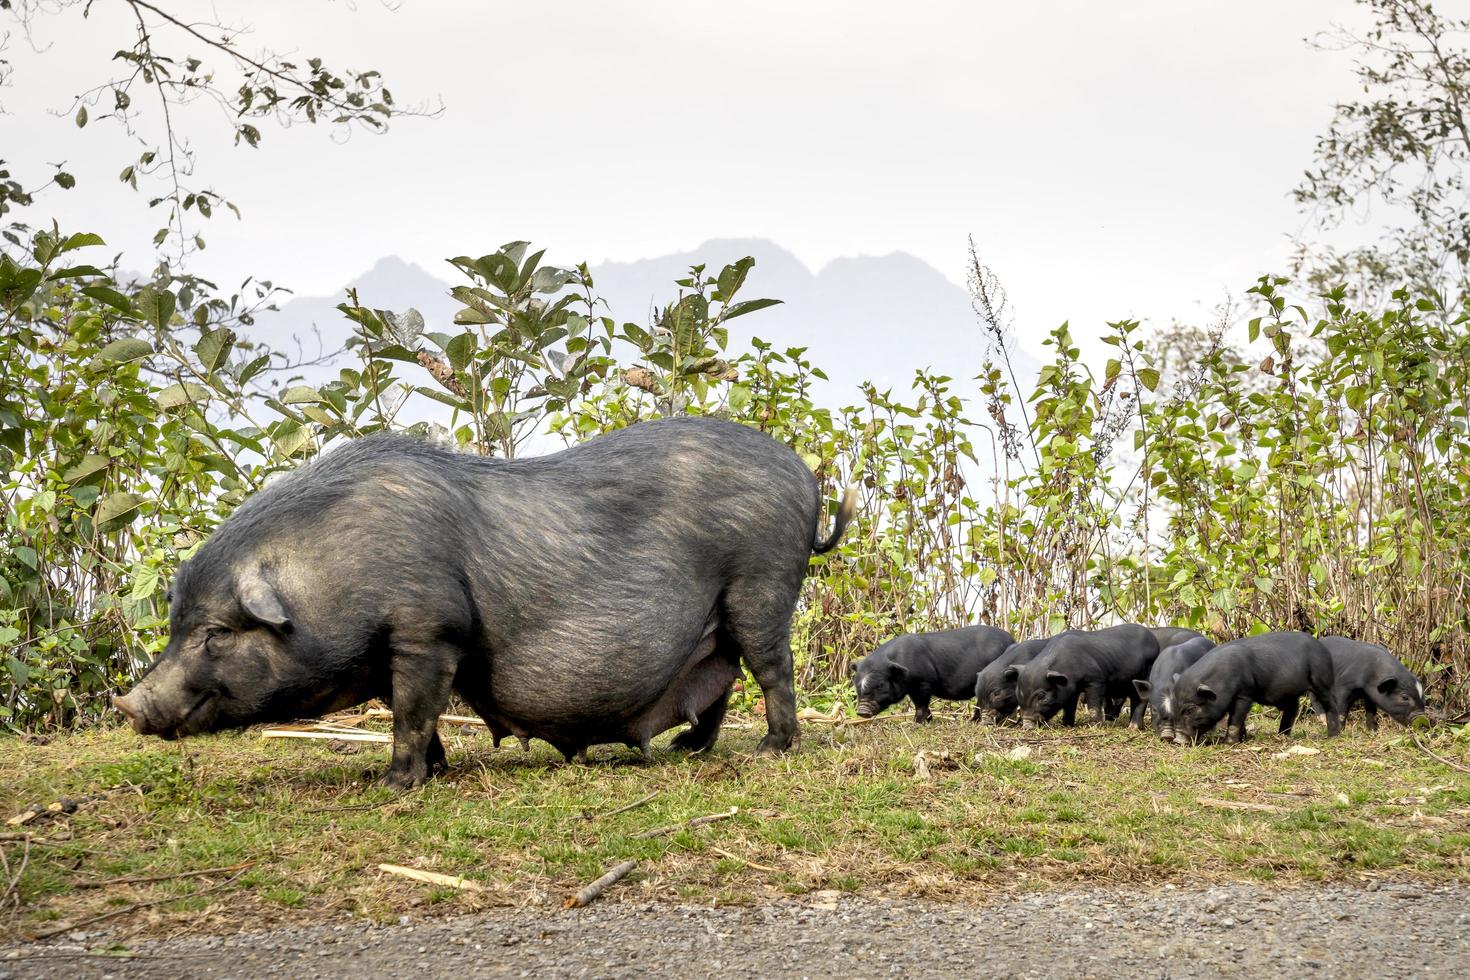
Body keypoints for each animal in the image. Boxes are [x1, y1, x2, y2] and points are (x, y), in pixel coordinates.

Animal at [117, 423, 858, 787]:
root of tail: (803, 477)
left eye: (216, 632)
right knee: (719, 679)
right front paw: (434, 770)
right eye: (177, 624)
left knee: (772, 670)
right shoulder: (394, 650)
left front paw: (392, 785)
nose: (128, 705)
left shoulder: (428, 628)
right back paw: (686, 749)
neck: (329, 571)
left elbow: (412, 712)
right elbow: (412, 714)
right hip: (720, 618)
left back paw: (770, 750)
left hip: (761, 584)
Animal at [846, 628, 1017, 719]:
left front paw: (917, 722)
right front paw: (927, 719)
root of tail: (1012, 640)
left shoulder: (923, 681)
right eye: (857, 684)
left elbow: (921, 704)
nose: (862, 711)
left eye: (880, 685)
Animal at [1017, 628, 1152, 728]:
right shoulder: (1072, 689)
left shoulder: (1096, 680)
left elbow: (1093, 704)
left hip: (1145, 676)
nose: (1026, 724)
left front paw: (1094, 726)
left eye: (1042, 697)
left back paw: (1133, 728)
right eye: (1019, 695)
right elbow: (1069, 707)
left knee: (1141, 700)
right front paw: (1067, 725)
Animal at [1164, 631, 1340, 746]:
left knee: (1331, 704)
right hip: (1291, 692)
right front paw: (1242, 739)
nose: (1177, 740)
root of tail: (1322, 647)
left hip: (1322, 680)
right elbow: (1238, 719)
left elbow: (1235, 719)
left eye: (1191, 709)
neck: (1222, 679)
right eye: (1175, 707)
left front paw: (1228, 744)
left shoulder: (1244, 694)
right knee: (1292, 709)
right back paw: (1282, 736)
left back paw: (1333, 736)